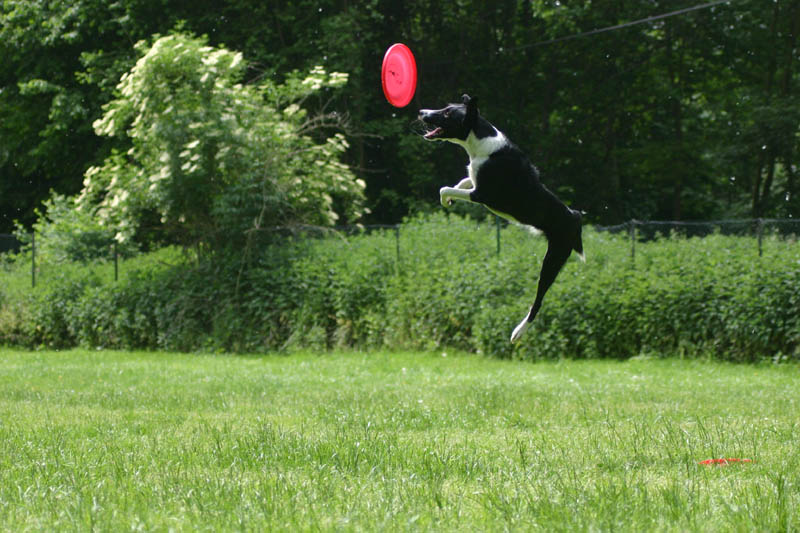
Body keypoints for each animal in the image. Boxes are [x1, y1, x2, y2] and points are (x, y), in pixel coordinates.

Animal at [418, 93, 580, 342]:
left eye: (447, 113)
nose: (421, 112)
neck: (480, 143)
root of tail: (574, 217)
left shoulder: (481, 195)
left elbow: (446, 188)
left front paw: (447, 198)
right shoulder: (474, 179)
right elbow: (464, 179)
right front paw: (452, 197)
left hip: (553, 259)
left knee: (539, 300)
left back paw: (517, 332)